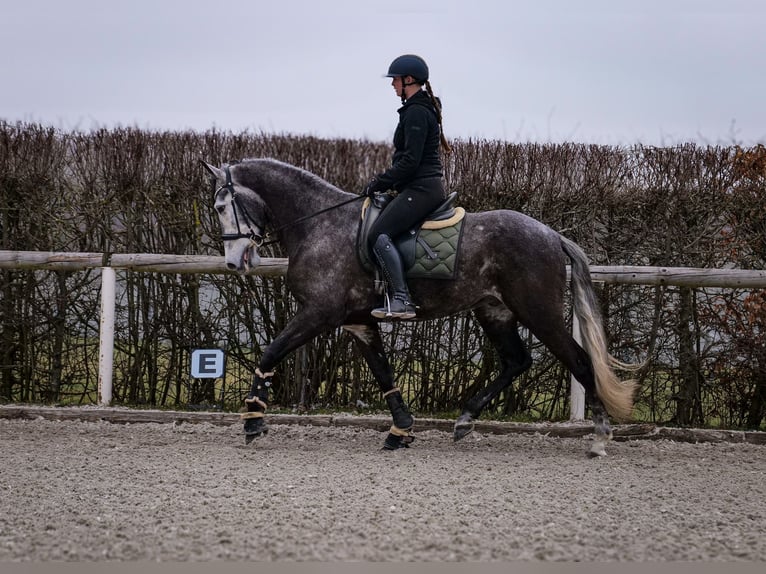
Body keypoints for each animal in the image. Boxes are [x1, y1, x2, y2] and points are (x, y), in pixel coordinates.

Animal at [201, 159, 640, 460]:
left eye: (222, 206)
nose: (234, 263)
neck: (321, 225)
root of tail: (551, 234)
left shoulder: (319, 313)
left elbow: (271, 352)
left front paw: (254, 420)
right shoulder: (358, 322)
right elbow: (383, 373)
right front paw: (401, 430)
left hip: (539, 312)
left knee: (579, 362)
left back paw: (599, 438)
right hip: (494, 310)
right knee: (516, 361)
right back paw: (465, 420)